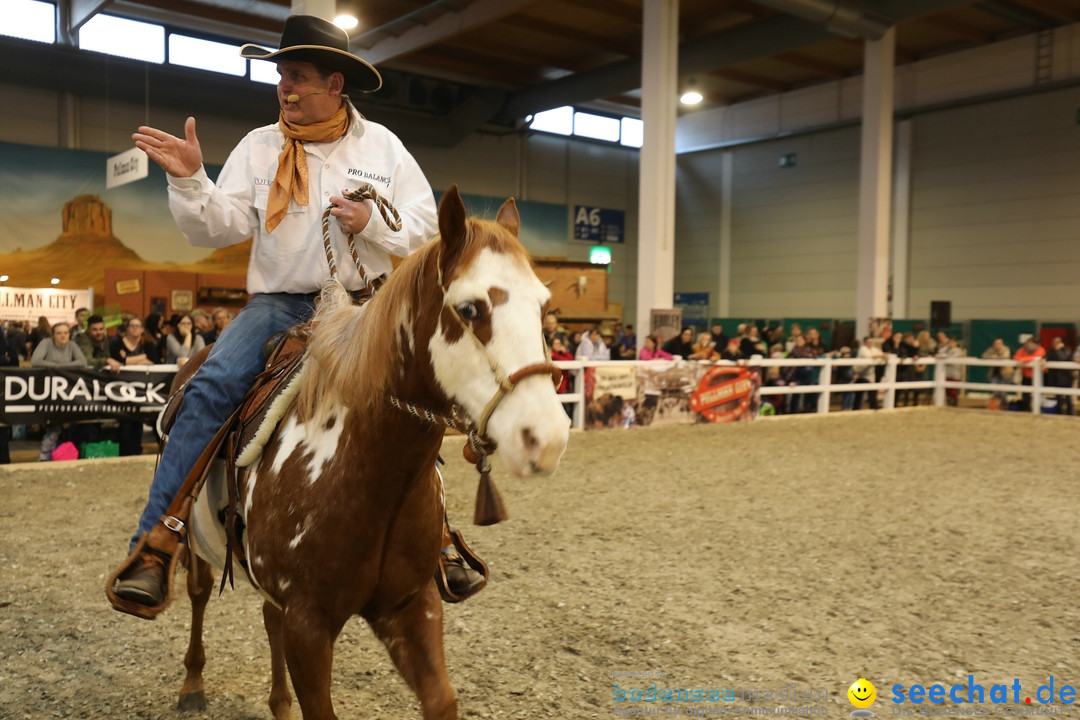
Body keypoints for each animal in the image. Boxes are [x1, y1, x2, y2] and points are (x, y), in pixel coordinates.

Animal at [179, 187, 574, 720]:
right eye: (470, 309)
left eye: (543, 307)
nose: (546, 436)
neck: (367, 472)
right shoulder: (309, 624)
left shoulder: (411, 603)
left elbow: (441, 700)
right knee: (198, 593)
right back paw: (191, 681)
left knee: (266, 614)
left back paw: (278, 702)